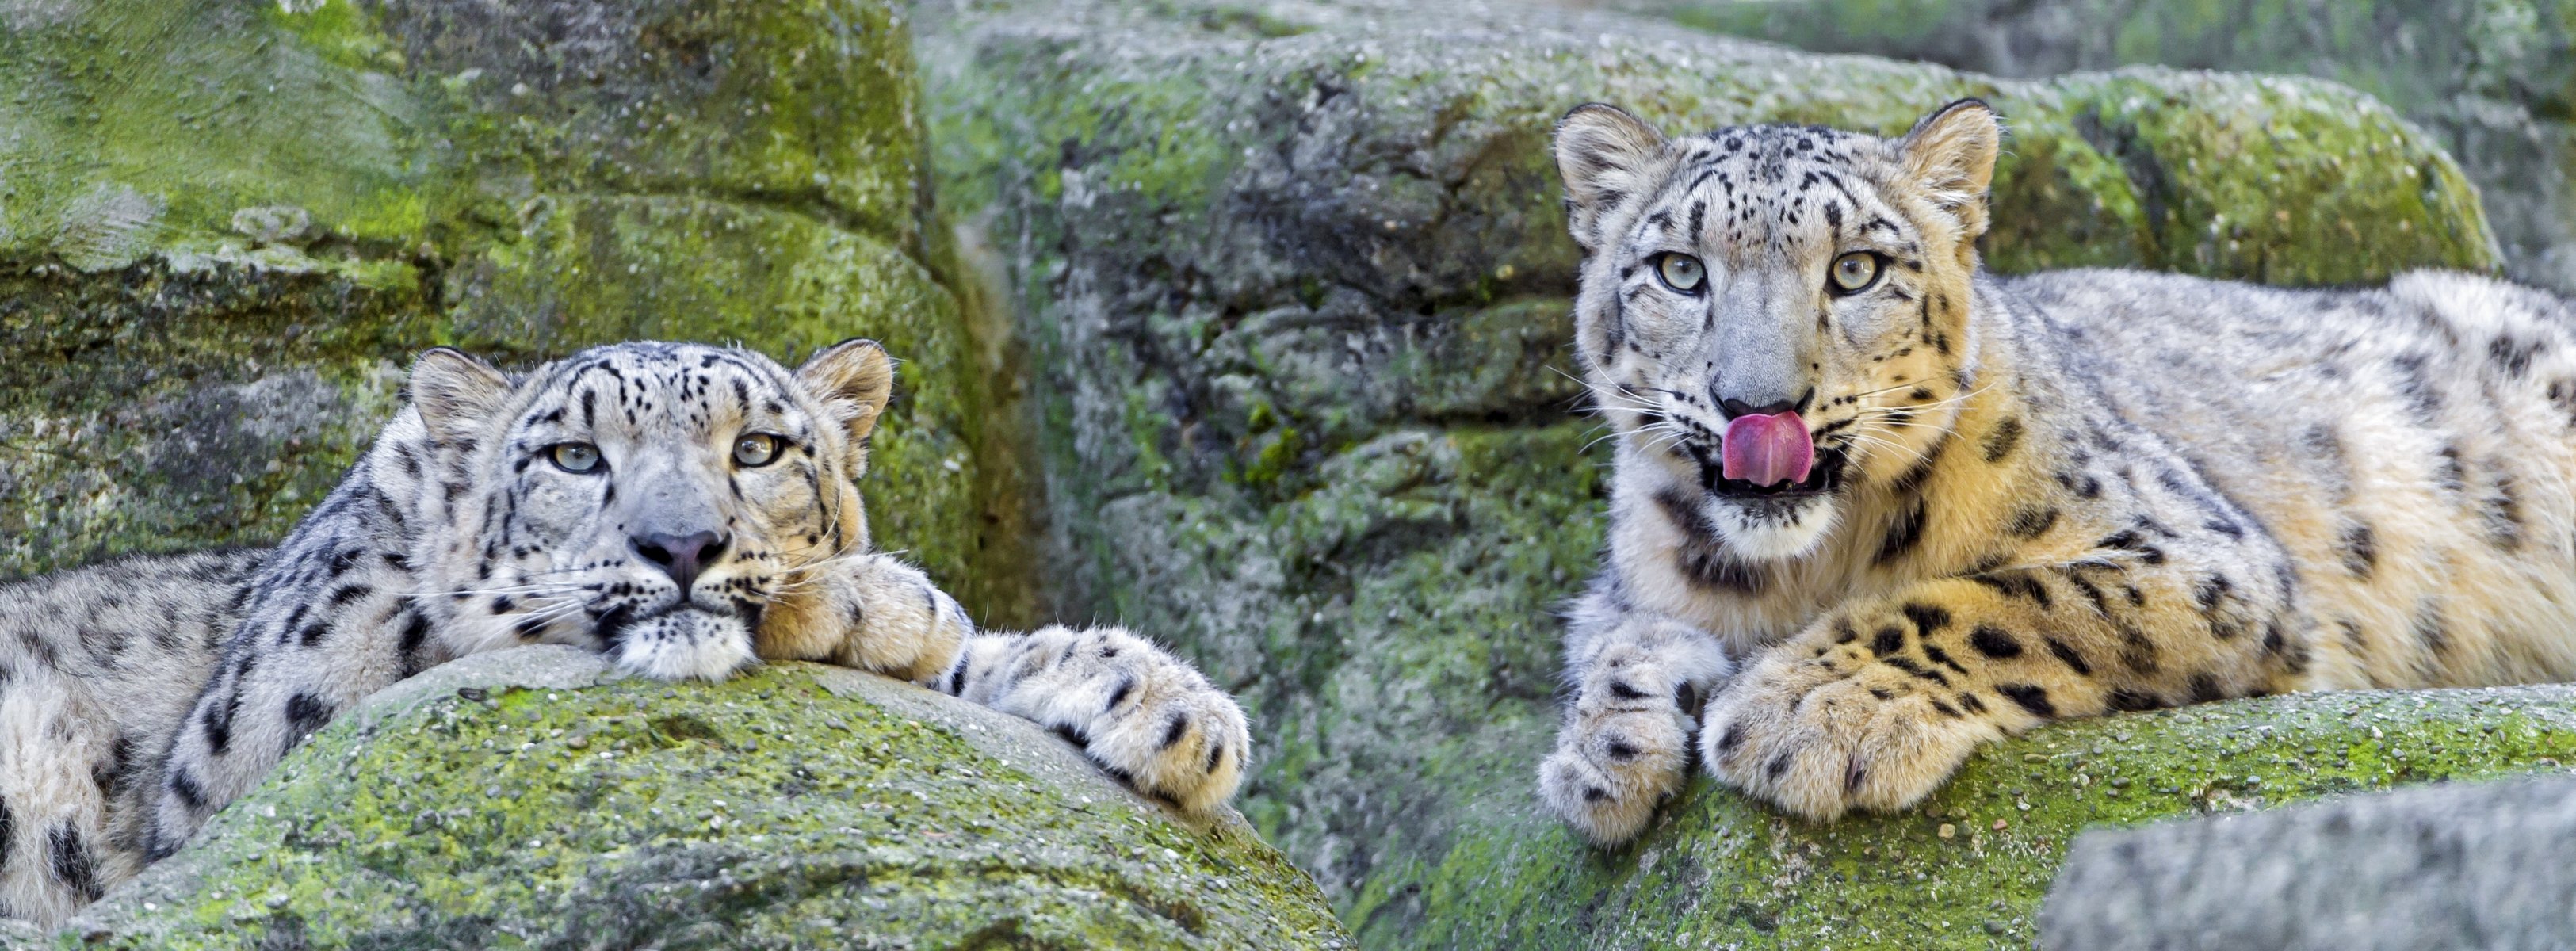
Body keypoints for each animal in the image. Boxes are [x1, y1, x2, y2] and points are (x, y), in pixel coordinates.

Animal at [0, 339, 1251, 925]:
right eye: (572, 456)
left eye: (759, 448)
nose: (682, 546)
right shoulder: (257, 727)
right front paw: (876, 599)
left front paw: (1164, 706)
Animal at [1535, 97, 2576, 845]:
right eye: (1679, 270)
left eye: (1856, 269)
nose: (1758, 405)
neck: (1803, 569)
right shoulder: (1633, 579)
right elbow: (1615, 634)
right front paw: (1603, 752)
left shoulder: (2208, 561)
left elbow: (1997, 602)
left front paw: (1803, 710)